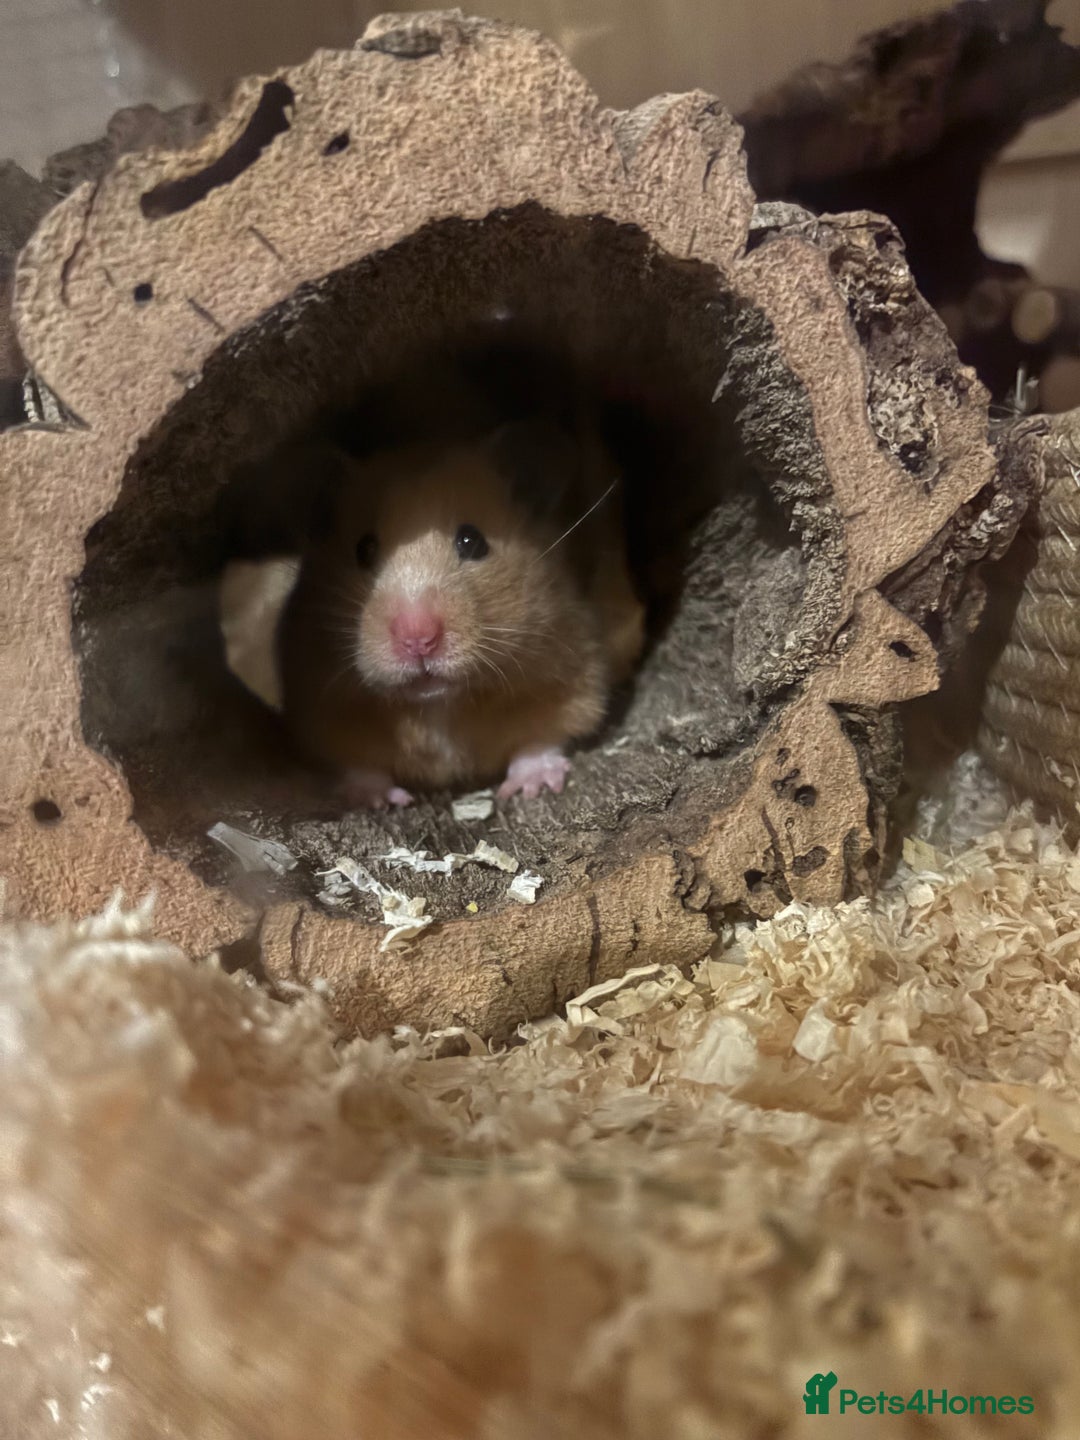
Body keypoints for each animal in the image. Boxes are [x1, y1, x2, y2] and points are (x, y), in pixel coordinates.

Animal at [276, 419, 644, 806]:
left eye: (472, 541)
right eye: (363, 549)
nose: (418, 639)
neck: (440, 704)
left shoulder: (573, 665)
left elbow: (545, 735)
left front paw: (531, 786)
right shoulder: (316, 704)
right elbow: (357, 764)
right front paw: (373, 801)